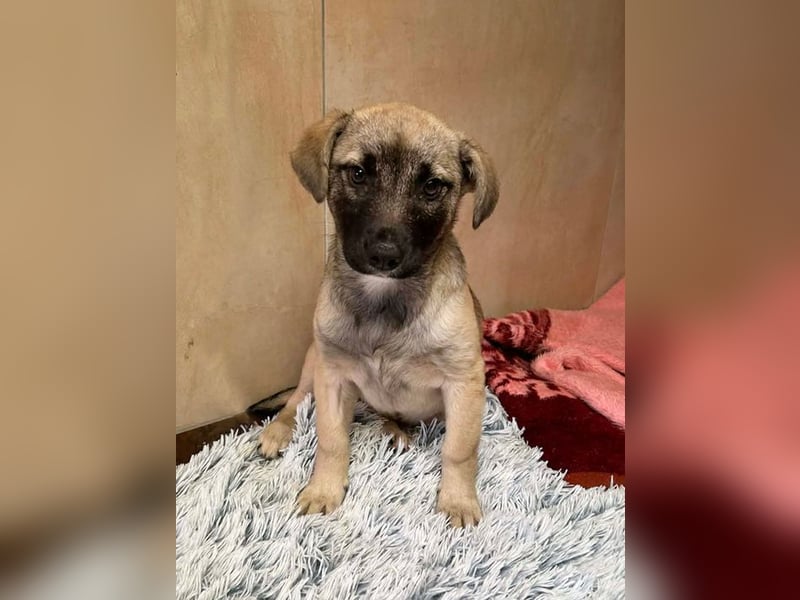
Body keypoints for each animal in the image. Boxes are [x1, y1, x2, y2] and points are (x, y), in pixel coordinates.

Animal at [259, 103, 499, 527]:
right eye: (358, 173)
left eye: (432, 186)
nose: (385, 255)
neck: (385, 300)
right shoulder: (333, 376)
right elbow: (331, 439)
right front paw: (323, 490)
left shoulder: (464, 382)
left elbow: (459, 450)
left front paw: (458, 501)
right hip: (313, 361)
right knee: (295, 401)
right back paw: (278, 431)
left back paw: (395, 430)